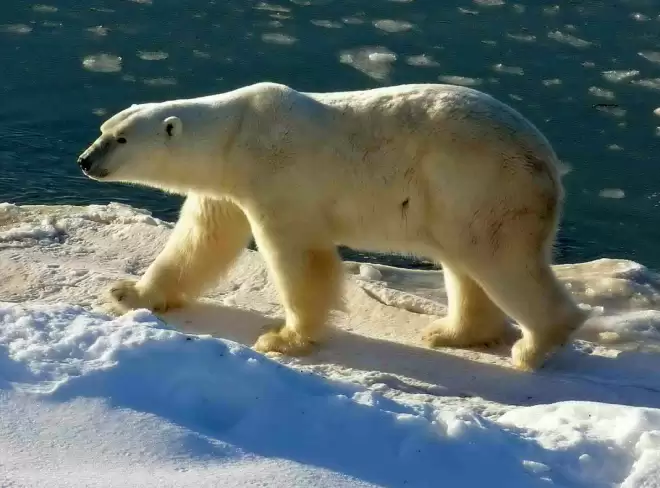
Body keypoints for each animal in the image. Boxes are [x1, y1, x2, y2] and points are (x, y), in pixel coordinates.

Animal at [77, 81, 588, 371]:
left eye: (120, 139)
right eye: (103, 129)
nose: (84, 160)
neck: (236, 133)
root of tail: (548, 160)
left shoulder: (278, 177)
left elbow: (298, 257)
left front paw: (283, 338)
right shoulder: (226, 188)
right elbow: (201, 240)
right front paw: (129, 293)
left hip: (483, 185)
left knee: (499, 259)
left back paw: (534, 347)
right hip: (456, 200)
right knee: (464, 263)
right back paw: (452, 332)